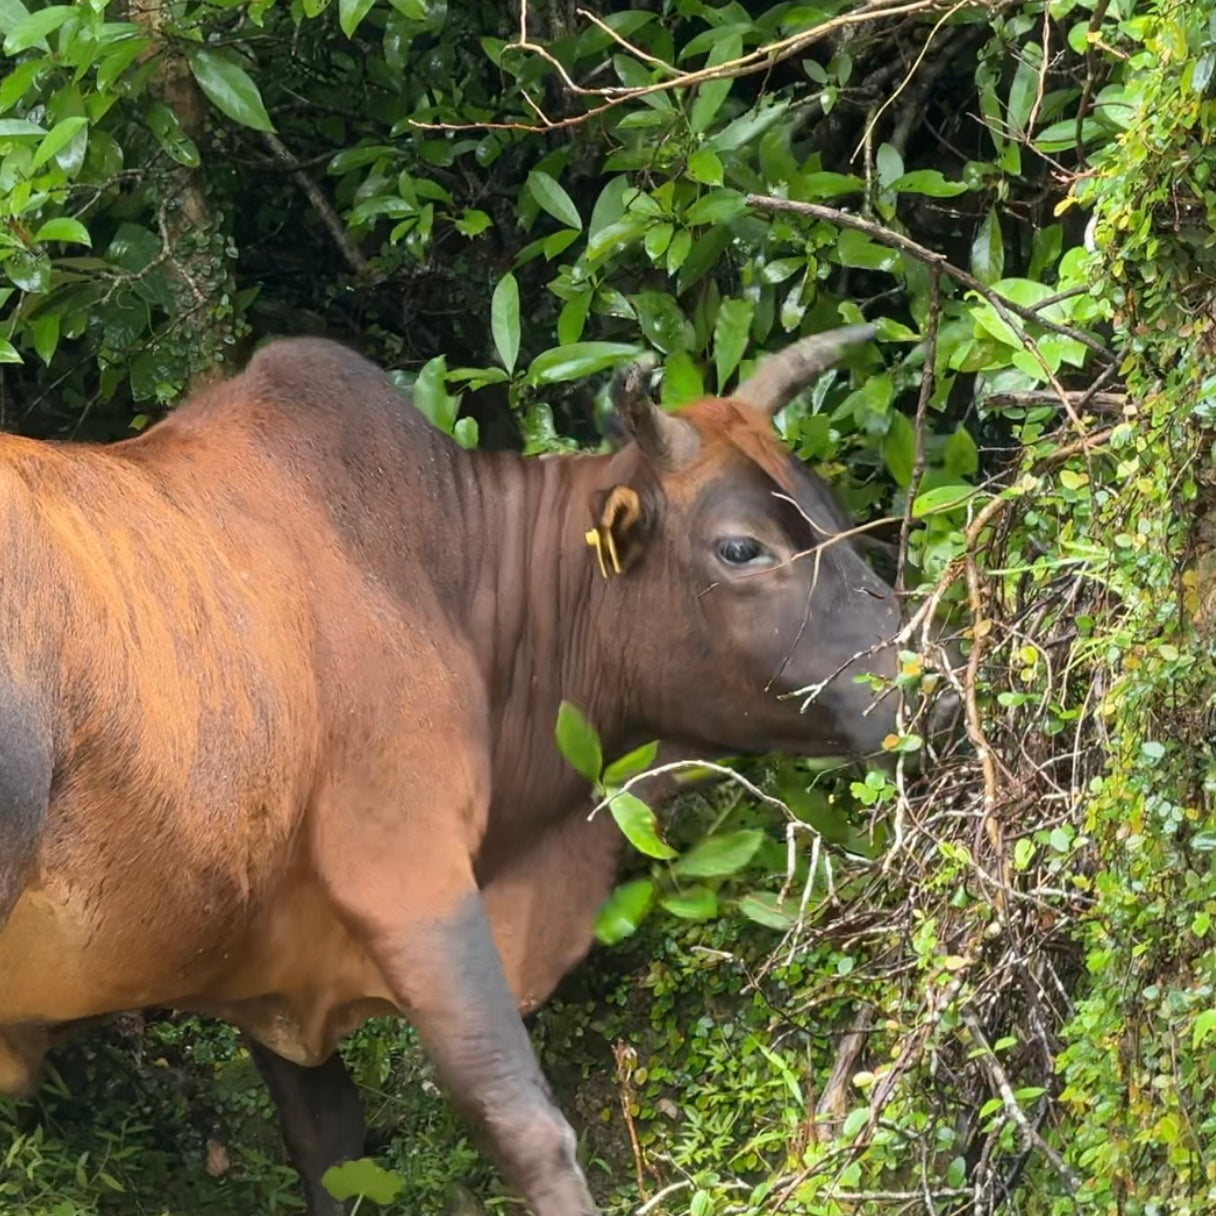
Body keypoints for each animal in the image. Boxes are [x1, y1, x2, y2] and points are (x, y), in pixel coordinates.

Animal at [0, 325, 933, 1216]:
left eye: (832, 509)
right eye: (741, 548)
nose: (926, 686)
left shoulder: (277, 979)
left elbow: (330, 1147)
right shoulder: (408, 875)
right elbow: (524, 1123)